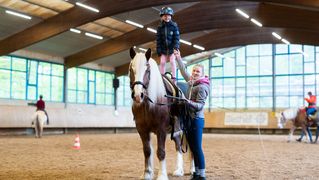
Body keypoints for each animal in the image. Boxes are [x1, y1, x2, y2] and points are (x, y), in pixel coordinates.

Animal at [129, 47, 185, 180]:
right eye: (131, 69)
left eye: (147, 69)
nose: (138, 95)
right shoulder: (142, 130)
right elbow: (147, 151)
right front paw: (147, 174)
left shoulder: (161, 129)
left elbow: (161, 151)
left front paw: (162, 175)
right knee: (178, 146)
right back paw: (179, 170)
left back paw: (187, 169)